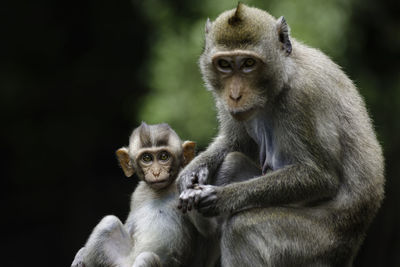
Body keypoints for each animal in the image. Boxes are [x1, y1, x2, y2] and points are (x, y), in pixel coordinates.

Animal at [70, 123, 217, 267]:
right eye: (147, 158)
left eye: (164, 156)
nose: (156, 172)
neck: (163, 189)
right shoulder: (138, 193)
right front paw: (81, 254)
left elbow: (210, 230)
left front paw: (192, 193)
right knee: (109, 222)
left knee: (146, 258)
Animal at [178, 3, 384, 266]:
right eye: (224, 64)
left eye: (248, 63)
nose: (234, 95)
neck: (284, 76)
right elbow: (238, 142)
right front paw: (192, 172)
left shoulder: (303, 97)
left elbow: (320, 176)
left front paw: (221, 197)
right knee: (232, 162)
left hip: (313, 245)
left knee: (241, 229)